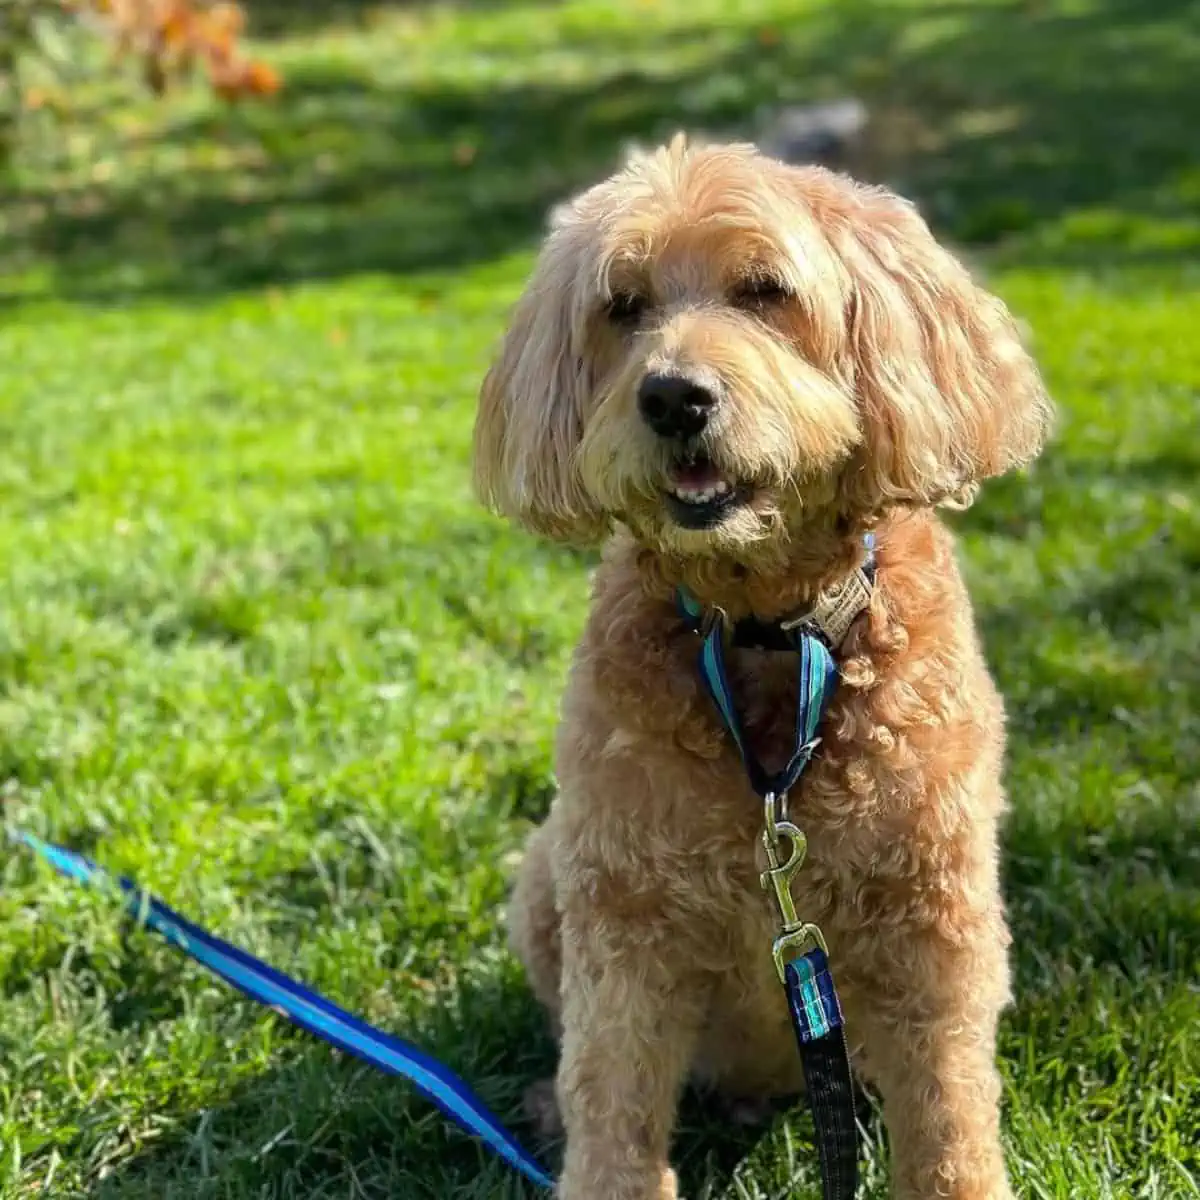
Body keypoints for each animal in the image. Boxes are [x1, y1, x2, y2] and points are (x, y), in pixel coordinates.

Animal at [468, 136, 1051, 1200]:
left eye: (765, 290)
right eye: (623, 304)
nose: (672, 397)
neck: (763, 632)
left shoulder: (934, 925)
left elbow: (948, 1119)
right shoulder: (626, 915)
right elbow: (610, 1100)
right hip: (545, 876)